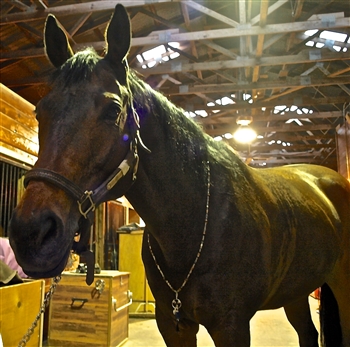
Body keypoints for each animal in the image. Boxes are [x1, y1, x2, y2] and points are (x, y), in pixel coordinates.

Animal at [9, 5, 348, 347]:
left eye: (113, 110)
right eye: (40, 111)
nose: (31, 234)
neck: (194, 222)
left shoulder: (232, 325)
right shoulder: (172, 323)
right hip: (297, 290)